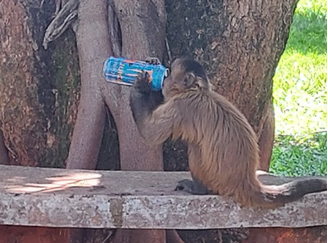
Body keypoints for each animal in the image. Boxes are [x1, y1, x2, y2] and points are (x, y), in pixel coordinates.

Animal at [129, 58, 326, 208]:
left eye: (169, 73)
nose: (163, 78)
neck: (199, 91)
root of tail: (246, 180)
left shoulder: (182, 105)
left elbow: (150, 133)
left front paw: (141, 85)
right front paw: (151, 65)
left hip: (216, 179)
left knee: (195, 147)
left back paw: (199, 189)